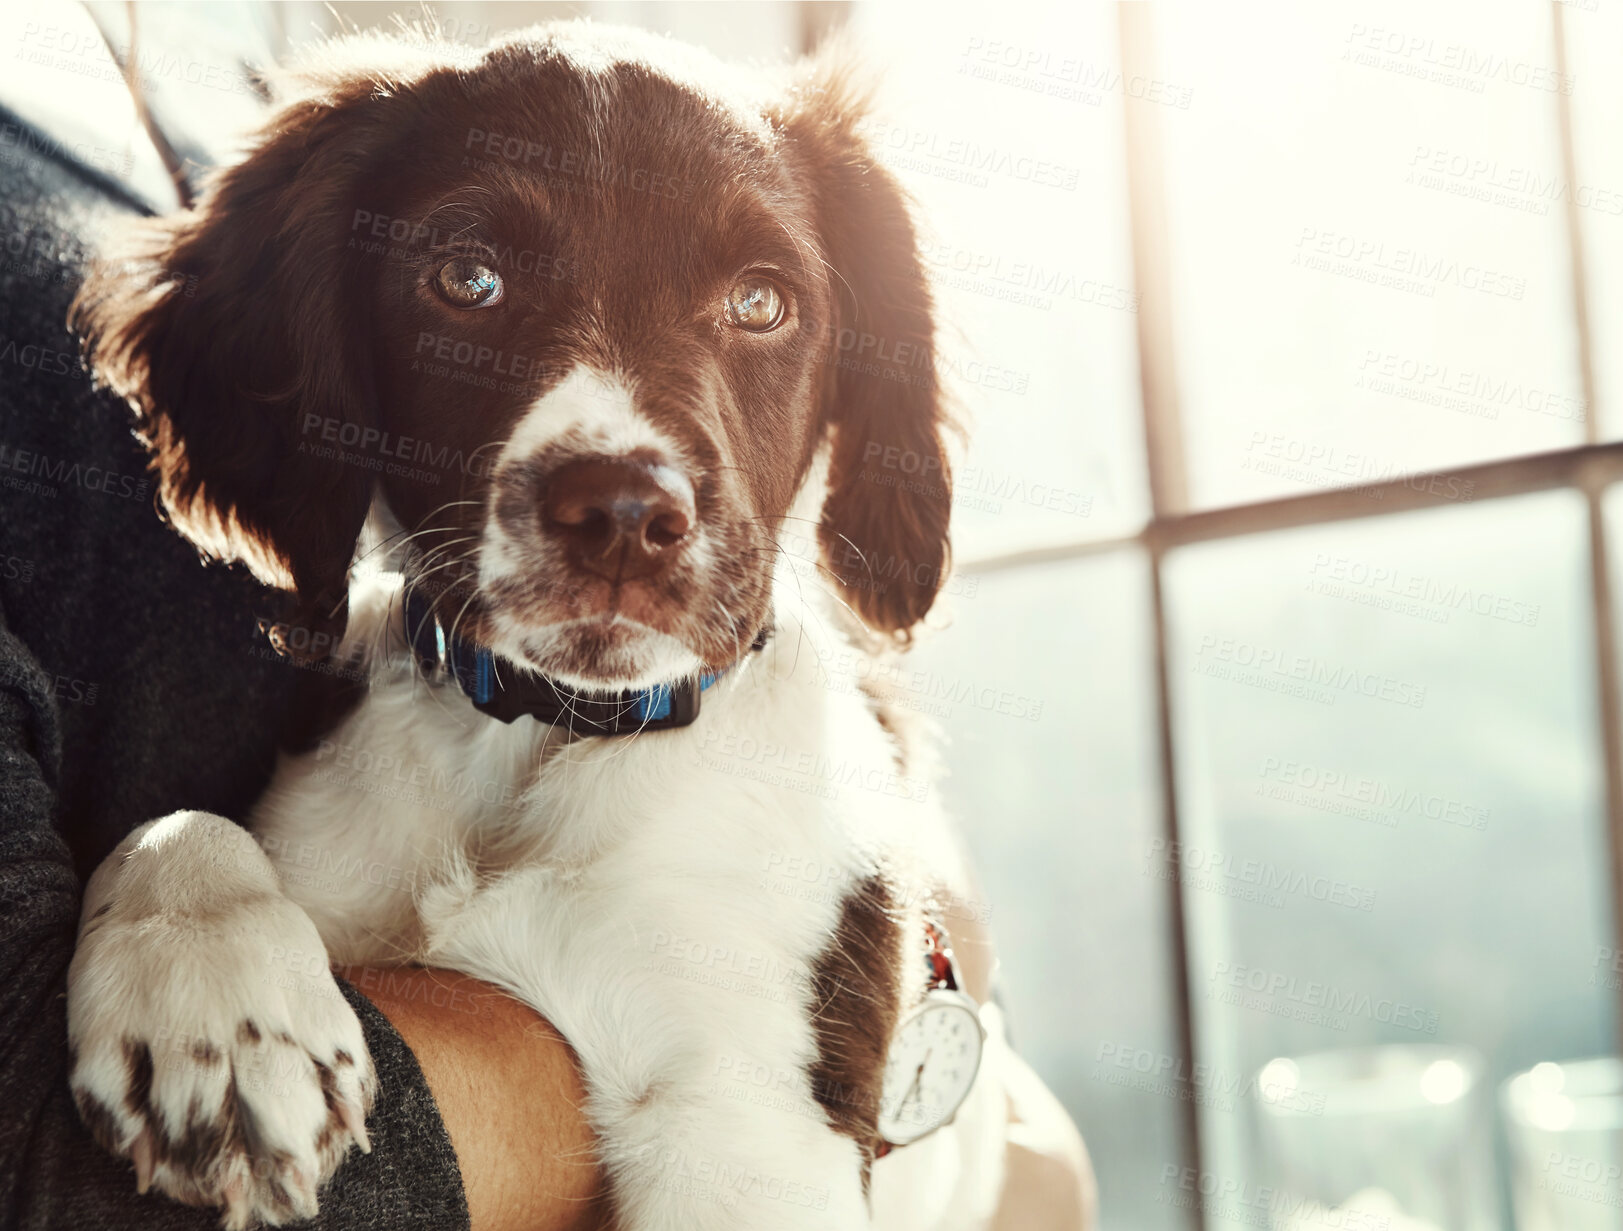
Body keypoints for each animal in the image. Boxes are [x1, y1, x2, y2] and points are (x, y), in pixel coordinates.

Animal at [66, 21, 999, 1231]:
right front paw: (217, 1028)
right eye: (467, 280)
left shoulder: (749, 1122)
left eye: (761, 303)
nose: (622, 518)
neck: (546, 731)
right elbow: (181, 822)